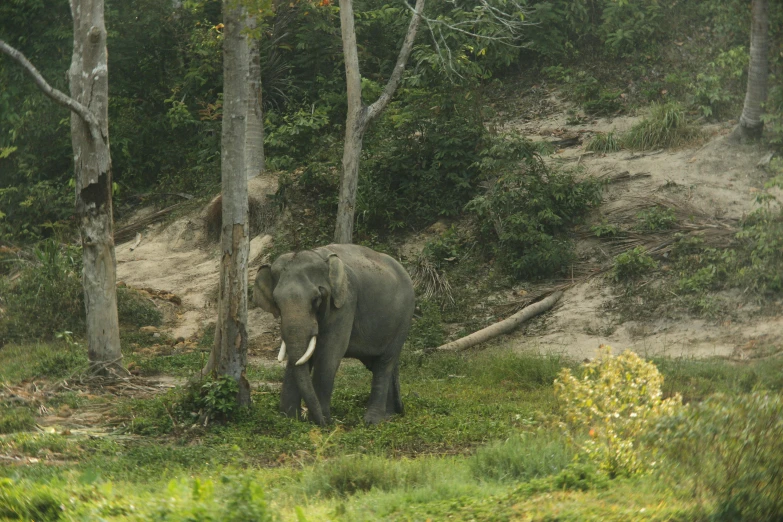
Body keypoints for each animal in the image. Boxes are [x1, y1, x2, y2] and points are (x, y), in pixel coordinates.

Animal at [256, 243, 416, 422]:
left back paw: (372, 421)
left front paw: (319, 420)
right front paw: (289, 418)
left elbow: (329, 353)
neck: (319, 255)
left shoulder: (345, 302)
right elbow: (299, 358)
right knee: (378, 364)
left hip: (405, 317)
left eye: (316, 299)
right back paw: (389, 415)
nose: (326, 422)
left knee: (385, 362)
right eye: (276, 302)